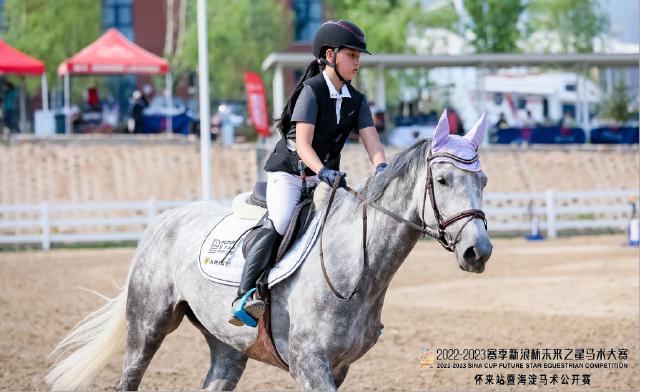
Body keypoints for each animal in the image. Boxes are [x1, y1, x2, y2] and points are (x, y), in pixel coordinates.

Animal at [45, 108, 492, 390]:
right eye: (443, 181)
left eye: (483, 180)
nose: (479, 251)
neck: (355, 268)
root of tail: (164, 220)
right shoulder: (309, 364)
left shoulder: (339, 367)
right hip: (147, 327)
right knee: (130, 376)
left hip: (228, 347)